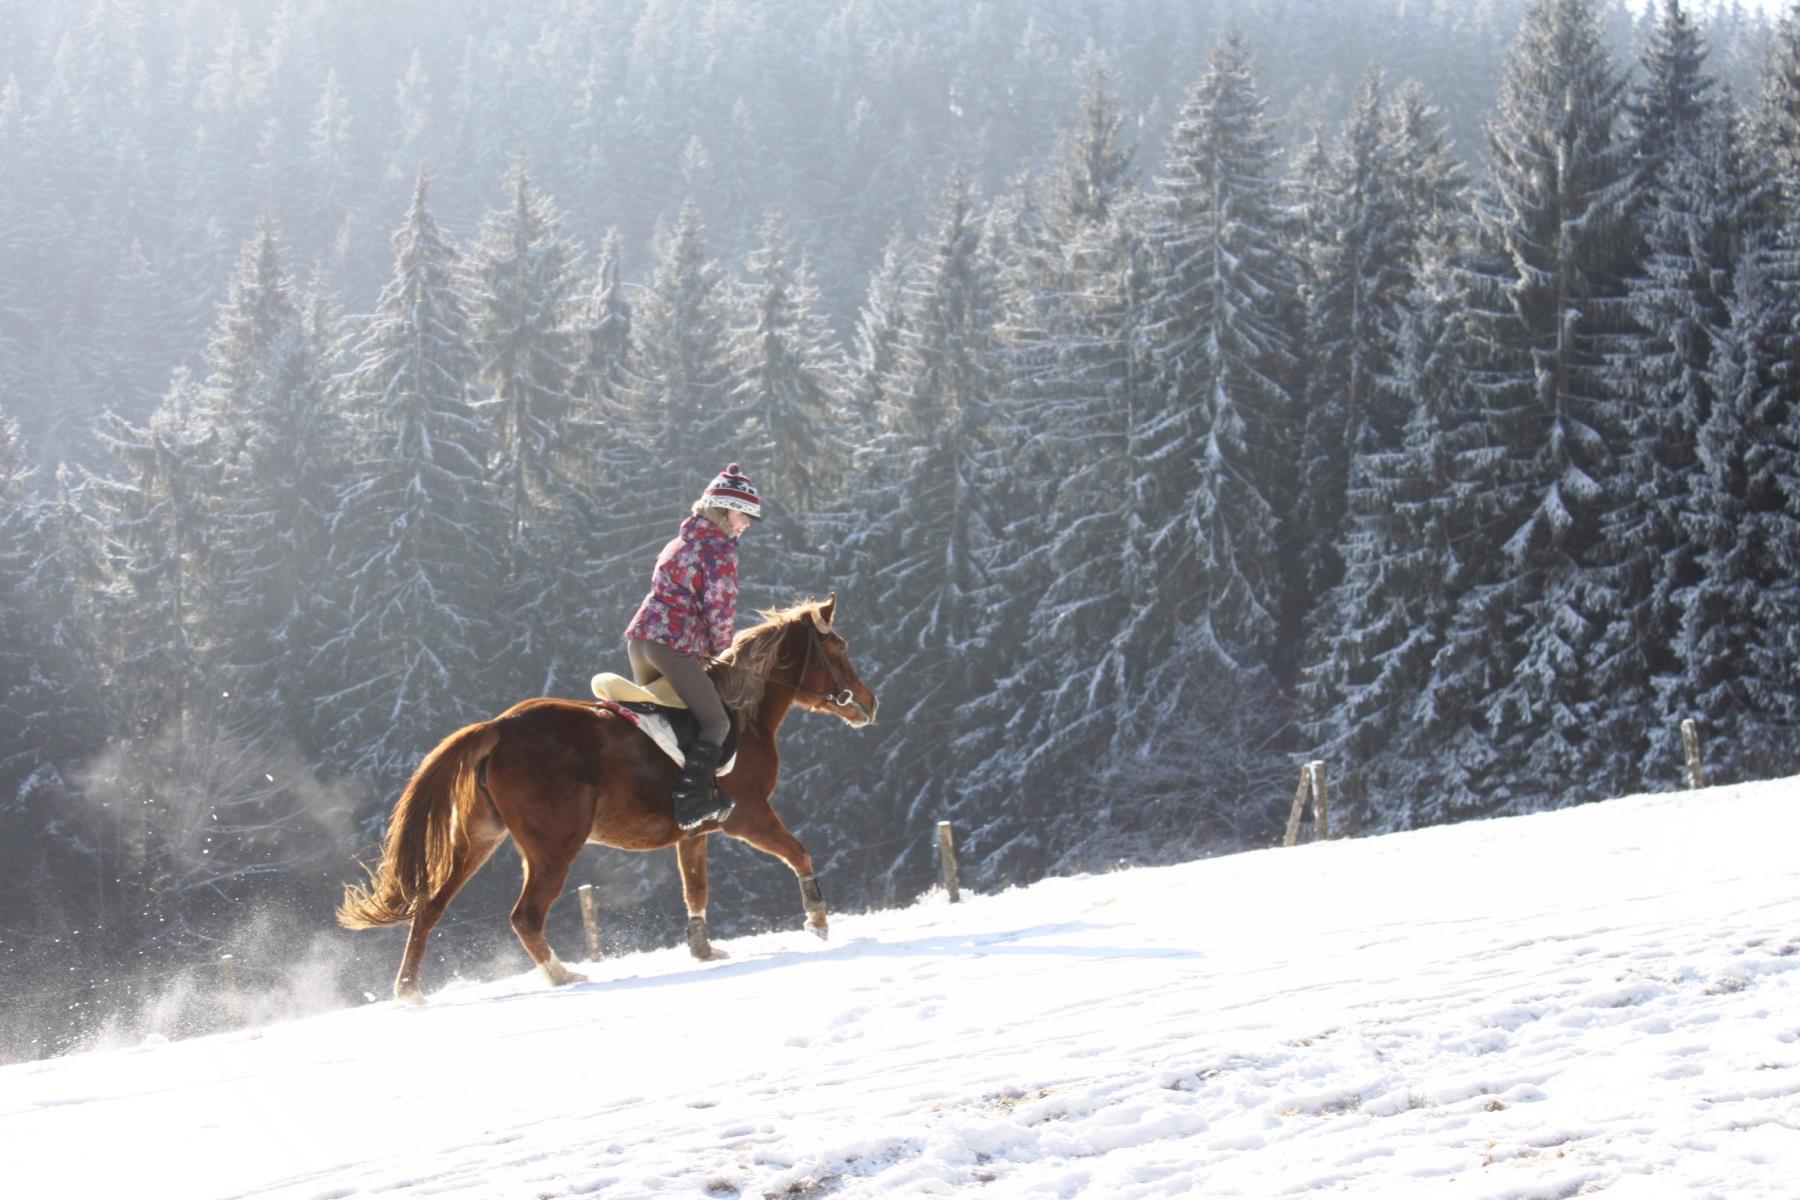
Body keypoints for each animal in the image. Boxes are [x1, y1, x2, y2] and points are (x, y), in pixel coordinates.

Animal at [338, 597, 878, 1000]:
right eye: (839, 646)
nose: (869, 704)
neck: (744, 714)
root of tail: (500, 726)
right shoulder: (748, 816)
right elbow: (798, 853)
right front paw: (817, 920)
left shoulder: (696, 832)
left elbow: (696, 890)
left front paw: (704, 951)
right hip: (555, 846)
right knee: (525, 916)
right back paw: (563, 975)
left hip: (480, 838)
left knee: (430, 908)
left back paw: (409, 991)